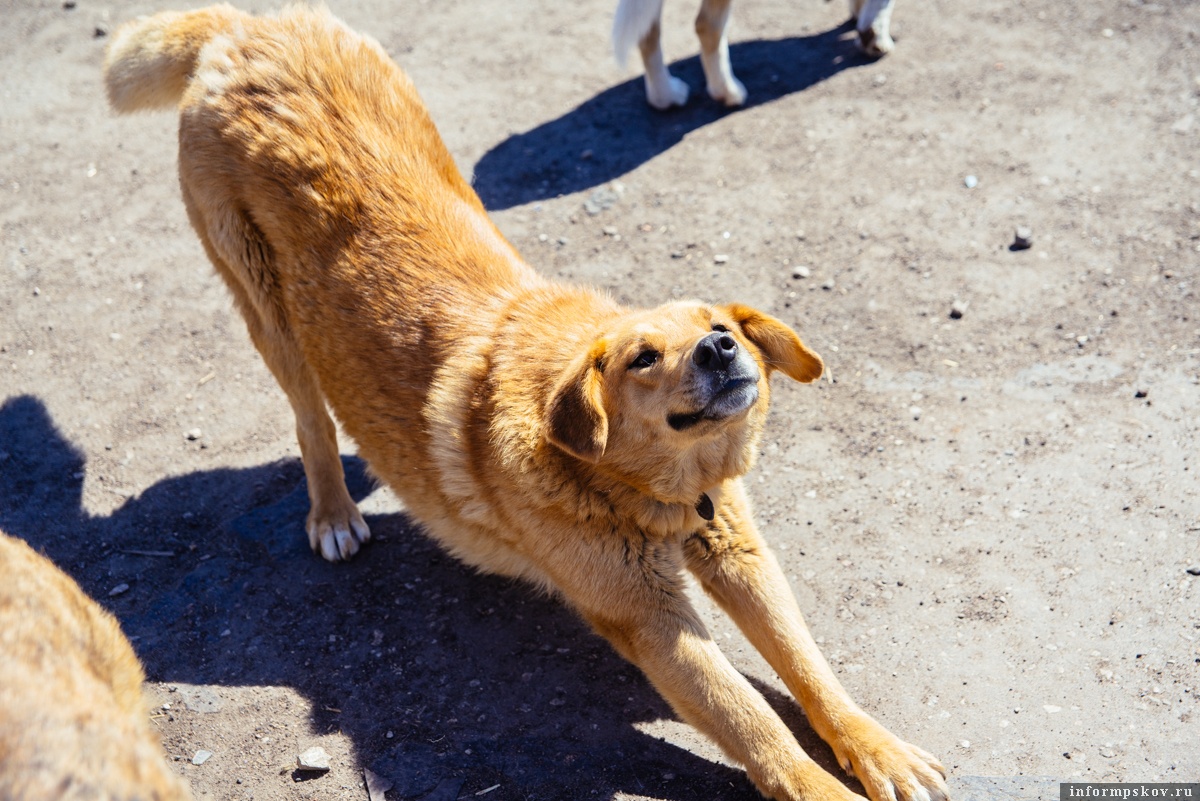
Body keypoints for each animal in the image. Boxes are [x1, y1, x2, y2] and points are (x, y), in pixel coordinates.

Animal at [103, 7, 945, 801]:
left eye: (720, 325)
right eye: (643, 357)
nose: (719, 350)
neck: (649, 487)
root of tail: (247, 27)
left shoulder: (738, 550)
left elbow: (810, 666)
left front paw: (876, 747)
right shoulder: (649, 618)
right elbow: (754, 720)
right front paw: (821, 783)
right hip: (264, 303)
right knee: (310, 415)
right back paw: (334, 510)